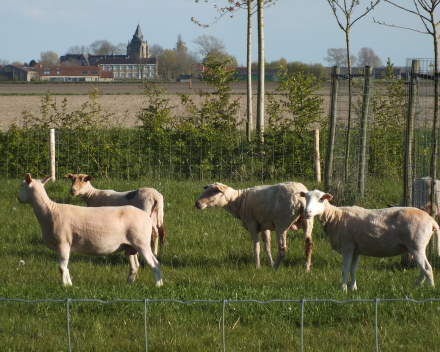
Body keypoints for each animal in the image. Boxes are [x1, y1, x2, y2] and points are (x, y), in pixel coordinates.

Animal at [17, 172, 163, 288]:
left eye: (22, 185)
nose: (18, 198)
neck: (49, 211)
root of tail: (148, 219)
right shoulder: (63, 246)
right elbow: (66, 267)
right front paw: (69, 284)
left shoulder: (62, 243)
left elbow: (62, 268)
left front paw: (64, 286)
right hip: (129, 246)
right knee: (134, 266)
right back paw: (128, 285)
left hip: (141, 242)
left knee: (155, 263)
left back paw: (158, 285)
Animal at [300, 190, 440, 292]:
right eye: (306, 198)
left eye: (321, 199)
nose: (307, 212)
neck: (335, 217)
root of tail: (431, 220)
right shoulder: (355, 249)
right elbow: (353, 269)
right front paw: (353, 289)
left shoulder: (347, 247)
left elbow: (345, 269)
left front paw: (342, 290)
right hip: (418, 246)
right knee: (423, 269)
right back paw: (416, 286)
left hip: (416, 245)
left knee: (427, 268)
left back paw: (430, 289)